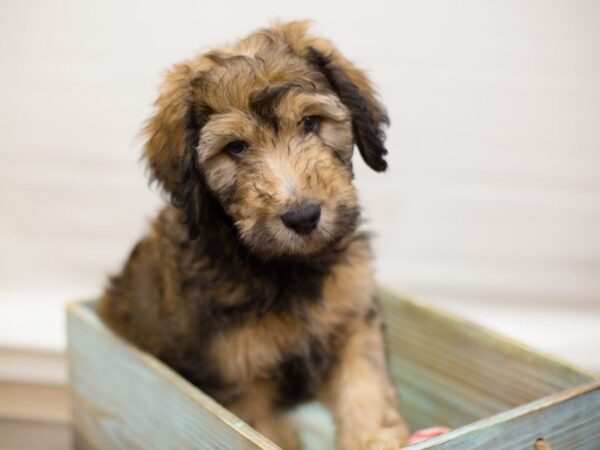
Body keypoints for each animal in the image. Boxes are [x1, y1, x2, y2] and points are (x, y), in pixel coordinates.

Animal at [98, 21, 410, 450]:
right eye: (235, 147)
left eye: (311, 122)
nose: (303, 216)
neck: (288, 269)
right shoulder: (242, 381)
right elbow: (270, 431)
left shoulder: (352, 322)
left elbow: (364, 390)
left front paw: (375, 438)